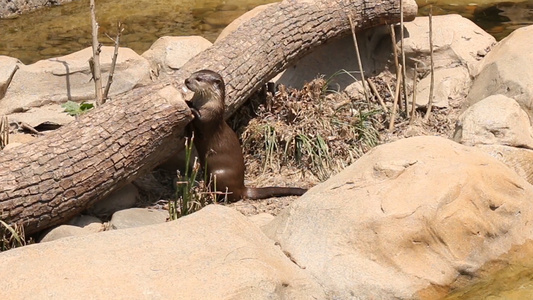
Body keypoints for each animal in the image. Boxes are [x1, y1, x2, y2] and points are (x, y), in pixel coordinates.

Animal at [184, 69, 306, 202]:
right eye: (192, 74)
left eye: (199, 79)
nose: (186, 80)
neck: (207, 104)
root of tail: (242, 188)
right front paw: (188, 102)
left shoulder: (211, 116)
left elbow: (200, 121)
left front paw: (191, 106)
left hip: (218, 174)